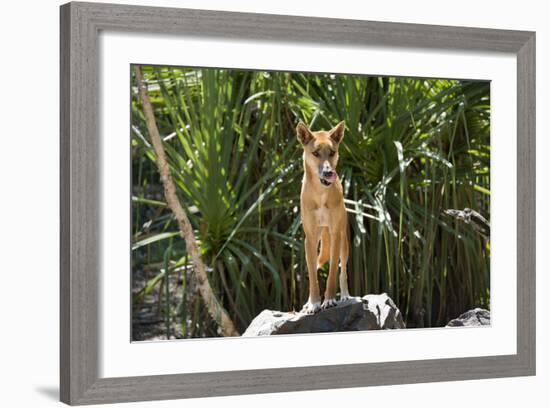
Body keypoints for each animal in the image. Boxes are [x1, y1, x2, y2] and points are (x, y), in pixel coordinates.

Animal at [298, 119, 354, 314]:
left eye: (332, 152)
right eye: (315, 153)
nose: (329, 172)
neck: (321, 194)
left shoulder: (336, 235)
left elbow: (332, 273)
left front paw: (329, 300)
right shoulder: (310, 238)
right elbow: (313, 275)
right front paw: (313, 303)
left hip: (343, 242)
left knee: (343, 272)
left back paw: (344, 296)